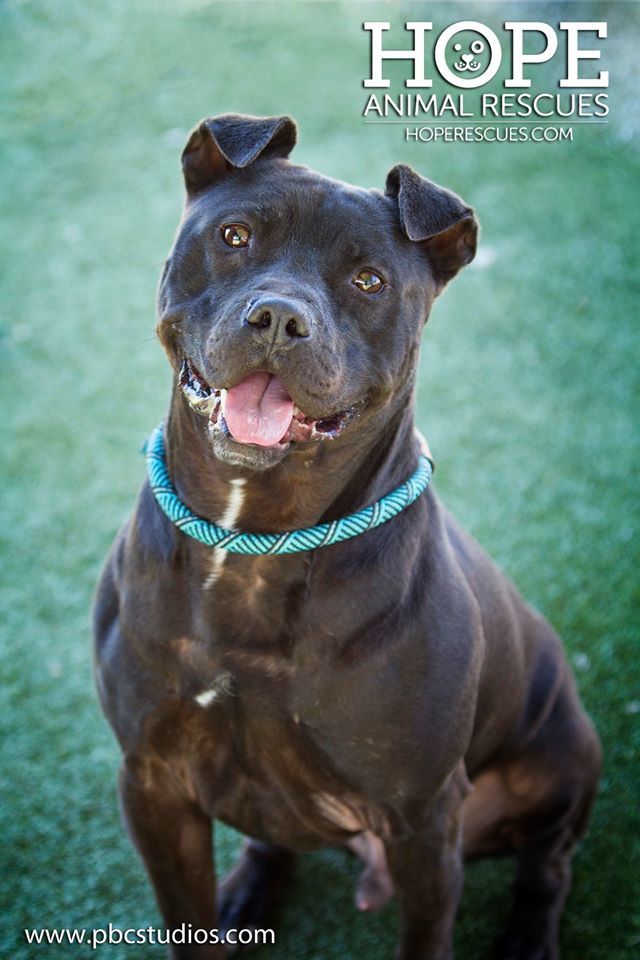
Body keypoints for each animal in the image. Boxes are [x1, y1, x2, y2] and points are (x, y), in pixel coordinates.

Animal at [92, 114, 604, 960]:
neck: (252, 543)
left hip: (561, 759)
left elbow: (427, 937)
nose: (278, 317)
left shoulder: (422, 821)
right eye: (235, 235)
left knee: (550, 864)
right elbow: (185, 921)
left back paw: (529, 936)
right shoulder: (154, 785)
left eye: (369, 282)